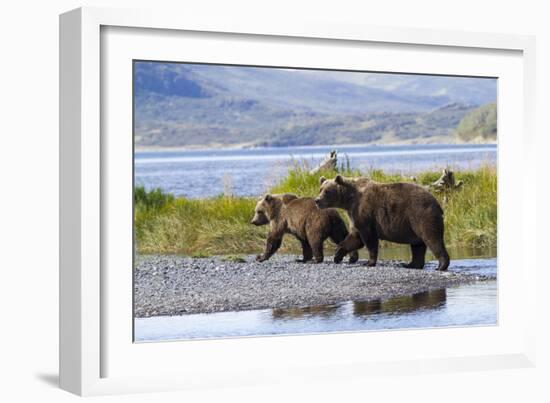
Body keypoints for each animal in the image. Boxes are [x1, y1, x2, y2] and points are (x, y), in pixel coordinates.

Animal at [314, 176, 452, 272]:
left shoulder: (365, 213)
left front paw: (369, 262)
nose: (317, 200)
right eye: (320, 189)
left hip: (421, 215)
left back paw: (441, 266)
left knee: (432, 239)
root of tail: (437, 203)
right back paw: (410, 264)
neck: (349, 200)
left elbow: (369, 239)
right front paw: (337, 255)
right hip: (414, 224)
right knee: (418, 245)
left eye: (327, 191)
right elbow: (355, 238)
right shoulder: (354, 215)